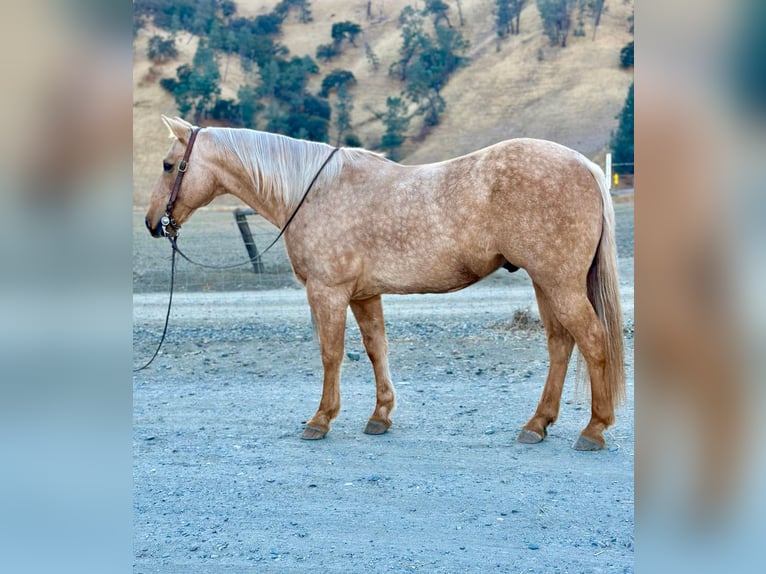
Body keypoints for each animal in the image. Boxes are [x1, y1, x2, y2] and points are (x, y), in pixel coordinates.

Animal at [144, 116, 624, 450]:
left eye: (168, 165)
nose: (153, 223)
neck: (313, 192)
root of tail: (586, 166)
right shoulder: (364, 294)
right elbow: (377, 349)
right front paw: (380, 415)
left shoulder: (327, 292)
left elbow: (331, 354)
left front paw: (321, 419)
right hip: (546, 284)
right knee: (561, 344)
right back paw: (537, 425)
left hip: (559, 284)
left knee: (592, 340)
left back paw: (593, 429)